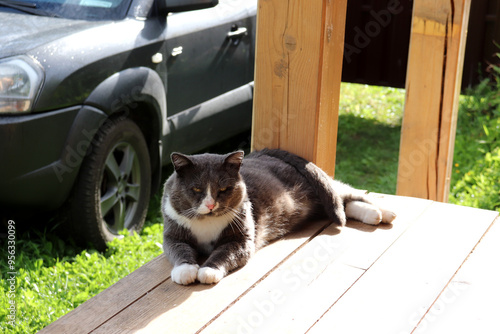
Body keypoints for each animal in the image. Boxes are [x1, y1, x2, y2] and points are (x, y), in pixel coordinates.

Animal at [160, 149, 394, 284]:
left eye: (224, 189)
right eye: (196, 189)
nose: (210, 205)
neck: (207, 222)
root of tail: (266, 153)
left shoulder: (241, 240)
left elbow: (223, 253)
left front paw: (208, 271)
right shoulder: (172, 234)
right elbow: (178, 249)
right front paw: (185, 270)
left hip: (322, 189)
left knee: (346, 193)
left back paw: (384, 212)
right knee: (343, 203)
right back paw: (374, 215)